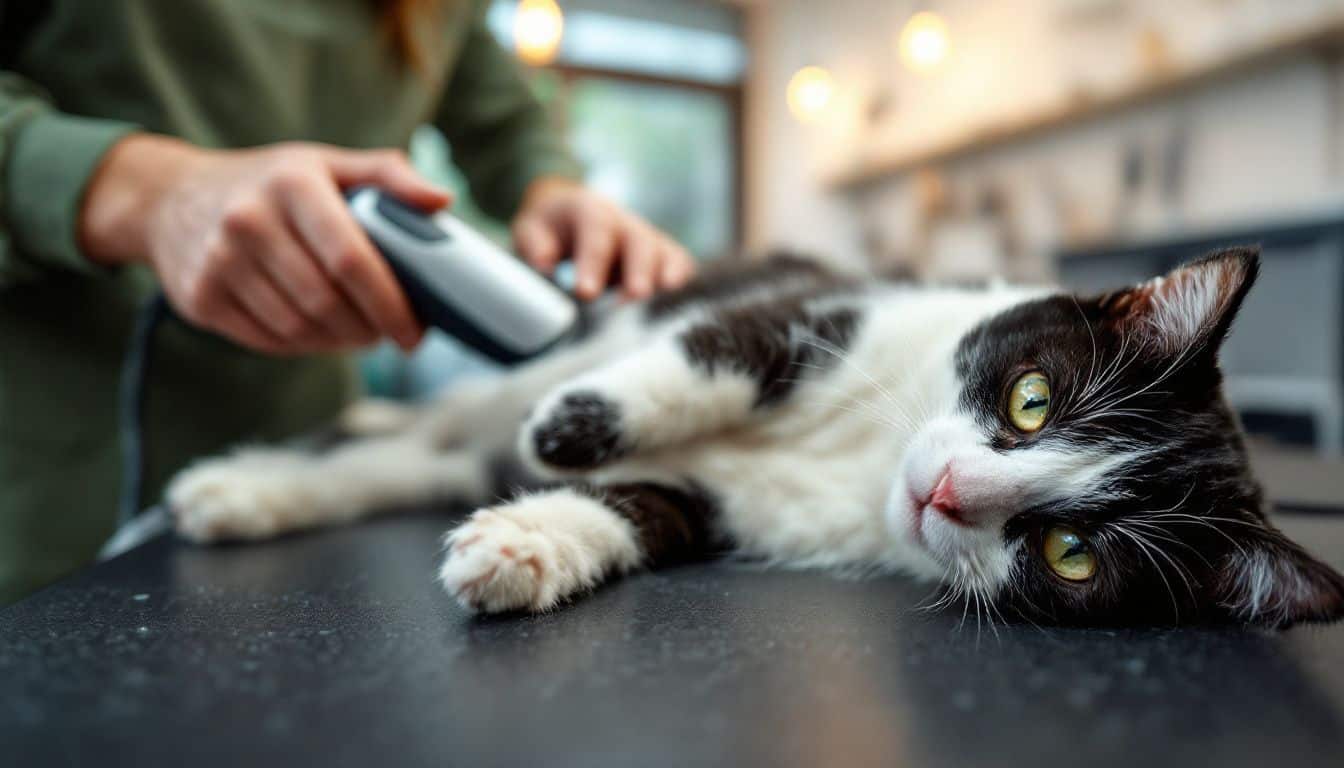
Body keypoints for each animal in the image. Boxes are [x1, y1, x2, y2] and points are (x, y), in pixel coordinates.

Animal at [165, 248, 1344, 626]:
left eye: (1072, 553)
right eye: (1033, 401)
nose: (945, 492)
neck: (866, 469)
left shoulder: (727, 510)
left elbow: (646, 512)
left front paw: (525, 546)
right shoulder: (817, 312)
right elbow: (712, 357)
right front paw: (574, 429)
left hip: (438, 460)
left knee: (395, 468)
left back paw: (240, 495)